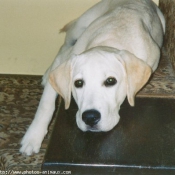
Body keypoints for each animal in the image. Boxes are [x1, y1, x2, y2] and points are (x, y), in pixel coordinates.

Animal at [19, 0, 165, 156]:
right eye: (78, 83)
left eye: (110, 81)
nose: (90, 118)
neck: (110, 40)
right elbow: (45, 105)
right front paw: (32, 137)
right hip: (78, 29)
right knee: (62, 48)